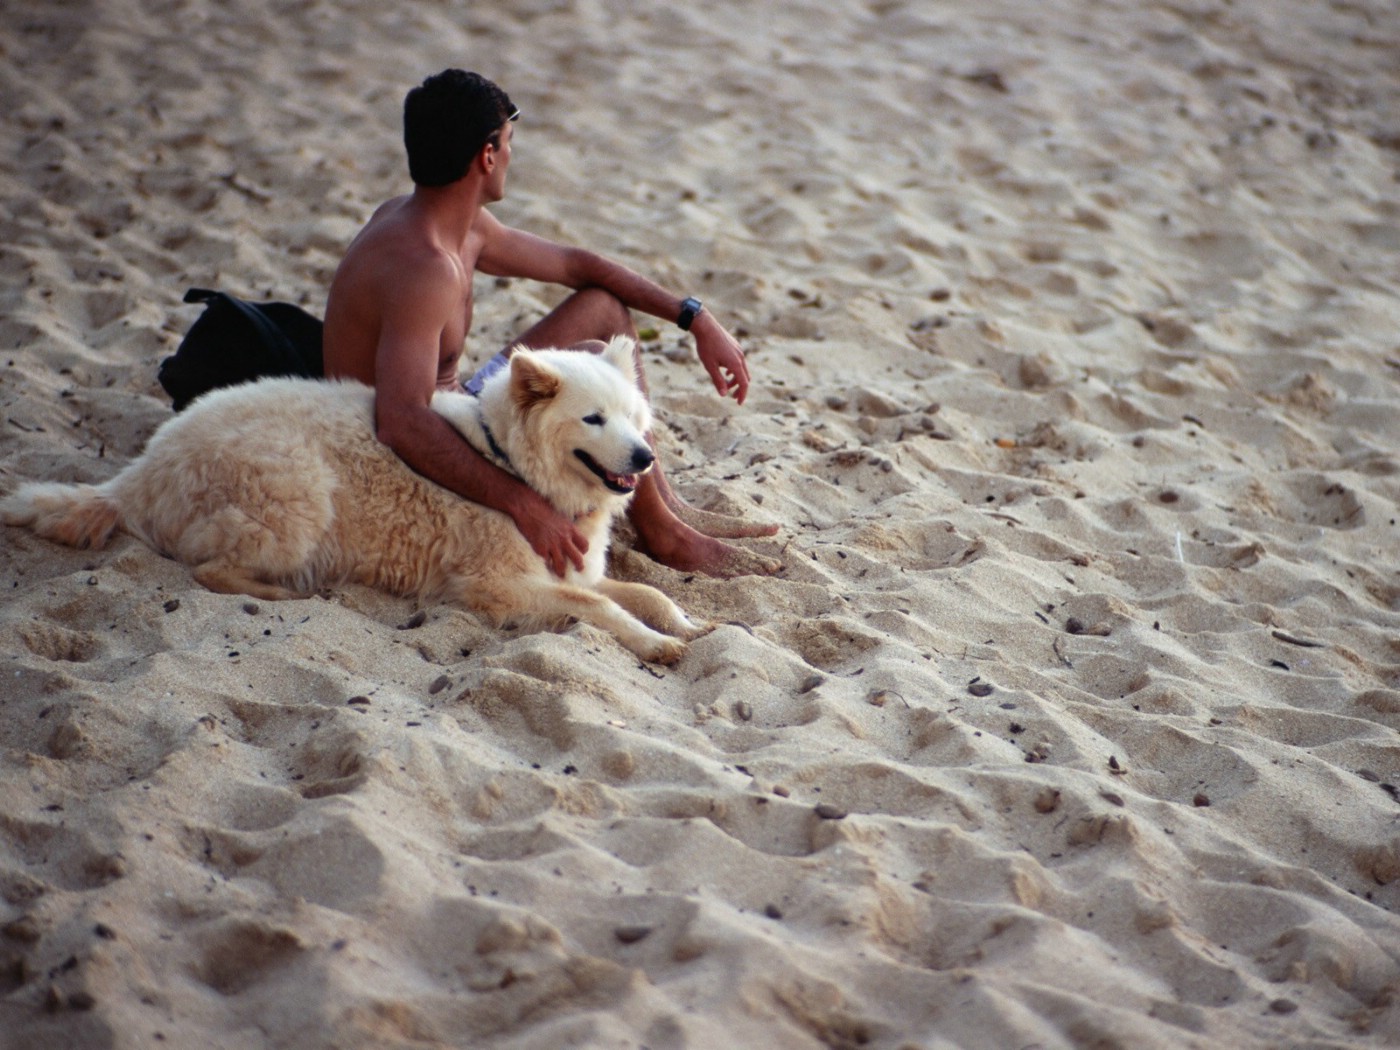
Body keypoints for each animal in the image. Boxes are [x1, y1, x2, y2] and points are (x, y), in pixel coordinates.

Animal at [0, 338, 700, 666]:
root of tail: (138, 472)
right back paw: (282, 593)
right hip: (299, 494)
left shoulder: (574, 570)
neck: (509, 464)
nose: (645, 458)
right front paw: (653, 644)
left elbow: (646, 592)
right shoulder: (495, 587)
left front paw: (690, 625)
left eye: (634, 418)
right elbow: (599, 609)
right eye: (593, 419)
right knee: (210, 569)